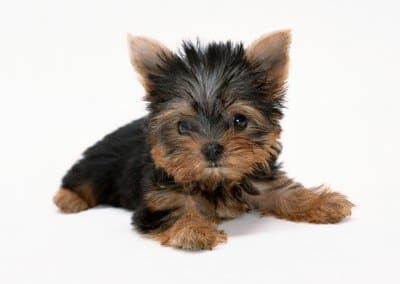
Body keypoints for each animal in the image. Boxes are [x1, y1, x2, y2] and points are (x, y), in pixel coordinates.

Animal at [53, 30, 354, 250]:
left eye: (239, 121)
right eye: (183, 126)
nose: (211, 149)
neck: (215, 181)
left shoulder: (260, 178)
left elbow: (285, 191)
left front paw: (322, 202)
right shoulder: (158, 198)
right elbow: (175, 210)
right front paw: (193, 229)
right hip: (100, 161)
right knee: (82, 177)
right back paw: (68, 199)